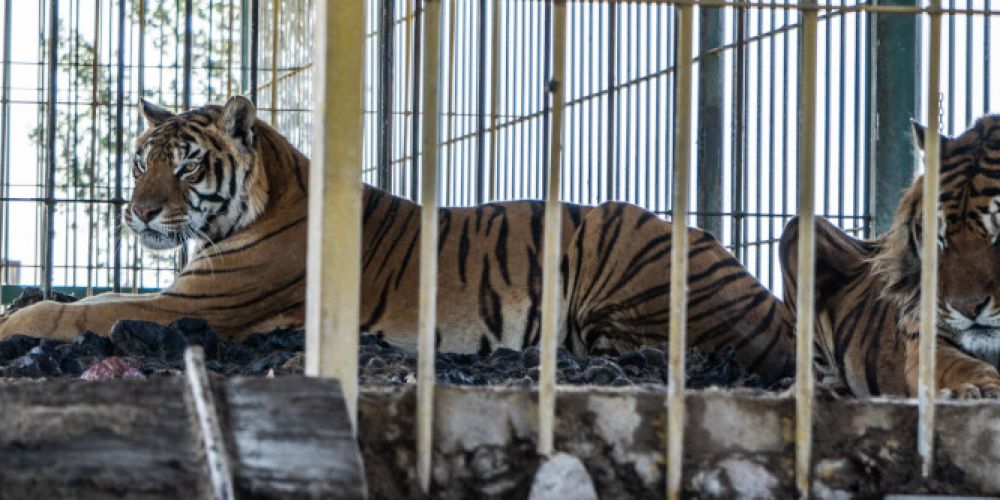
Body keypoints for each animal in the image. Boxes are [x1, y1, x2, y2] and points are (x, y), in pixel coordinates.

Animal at [0, 96, 794, 384]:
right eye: (142, 160)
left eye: (187, 164)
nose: (135, 213)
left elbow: (83, 310)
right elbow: (88, 299)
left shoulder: (193, 306)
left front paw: (16, 320)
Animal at [780, 115, 1000, 398]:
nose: (967, 308)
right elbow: (964, 366)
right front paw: (980, 389)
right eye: (940, 239)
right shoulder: (925, 339)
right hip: (799, 229)